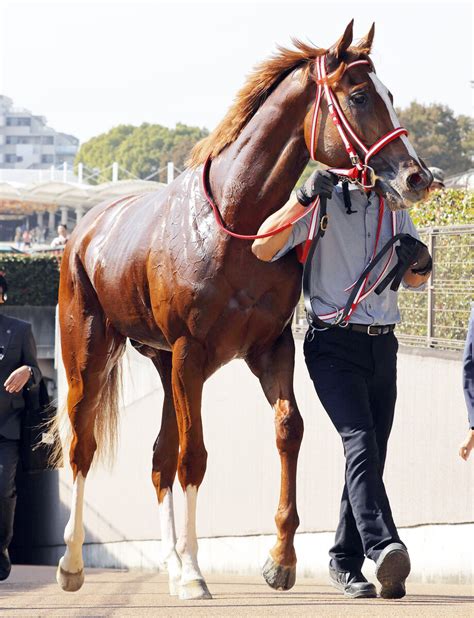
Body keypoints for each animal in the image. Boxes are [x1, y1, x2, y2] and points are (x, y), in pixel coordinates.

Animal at [54, 22, 430, 596]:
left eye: (388, 93)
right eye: (361, 95)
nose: (418, 177)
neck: (238, 222)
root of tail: (85, 230)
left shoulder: (268, 347)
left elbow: (287, 429)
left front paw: (280, 559)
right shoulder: (192, 353)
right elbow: (194, 456)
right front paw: (194, 574)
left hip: (162, 362)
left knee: (159, 459)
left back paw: (168, 564)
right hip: (88, 352)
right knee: (83, 445)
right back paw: (76, 564)